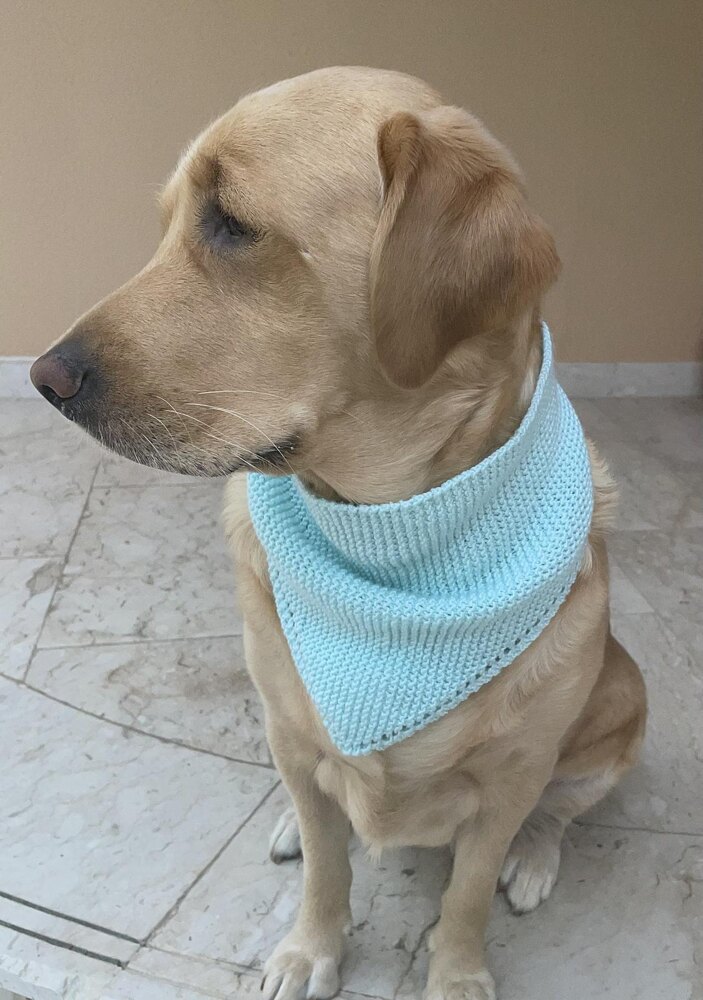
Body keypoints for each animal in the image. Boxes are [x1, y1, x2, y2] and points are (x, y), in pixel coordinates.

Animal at [33, 66, 648, 996]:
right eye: (169, 221)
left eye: (232, 222)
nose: (42, 377)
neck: (386, 536)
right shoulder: (291, 736)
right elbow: (329, 865)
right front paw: (310, 948)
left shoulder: (511, 780)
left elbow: (466, 895)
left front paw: (457, 973)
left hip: (619, 705)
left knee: (556, 818)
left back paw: (535, 858)